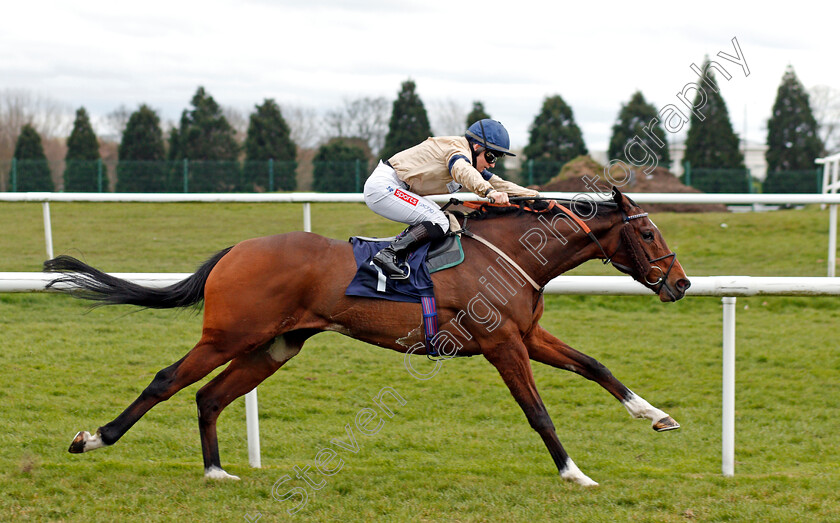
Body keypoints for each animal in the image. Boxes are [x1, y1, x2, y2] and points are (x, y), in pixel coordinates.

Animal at [42, 188, 688, 488]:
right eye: (648, 233)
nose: (680, 283)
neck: (514, 253)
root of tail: (236, 250)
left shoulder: (526, 335)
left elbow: (596, 365)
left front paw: (657, 415)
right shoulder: (503, 345)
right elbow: (538, 412)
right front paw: (574, 473)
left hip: (275, 346)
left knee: (210, 396)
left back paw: (217, 472)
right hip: (230, 334)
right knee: (167, 381)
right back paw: (93, 439)